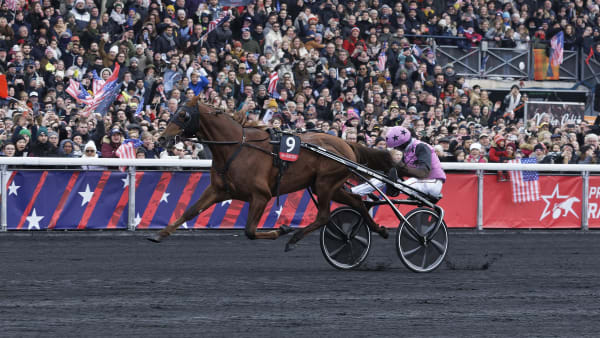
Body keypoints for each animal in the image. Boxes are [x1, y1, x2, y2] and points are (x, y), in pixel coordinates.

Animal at [149, 97, 394, 251]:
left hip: (326, 183)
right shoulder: (218, 190)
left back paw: (294, 237)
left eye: (183, 114)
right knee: (357, 202)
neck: (237, 147)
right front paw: (159, 234)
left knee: (324, 215)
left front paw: (282, 229)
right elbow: (190, 211)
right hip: (326, 185)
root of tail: (346, 143)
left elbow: (250, 230)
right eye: (173, 111)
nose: (161, 138)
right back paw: (378, 229)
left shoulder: (261, 195)